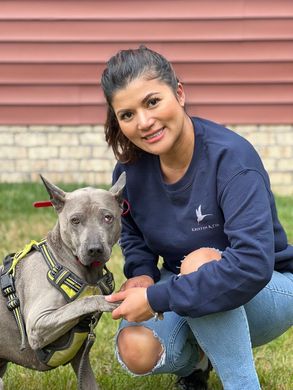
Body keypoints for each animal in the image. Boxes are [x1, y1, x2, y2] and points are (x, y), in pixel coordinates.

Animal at [0, 174, 124, 390]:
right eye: (75, 220)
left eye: (108, 217)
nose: (94, 249)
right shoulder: (37, 326)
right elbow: (84, 301)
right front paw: (109, 301)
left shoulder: (81, 357)